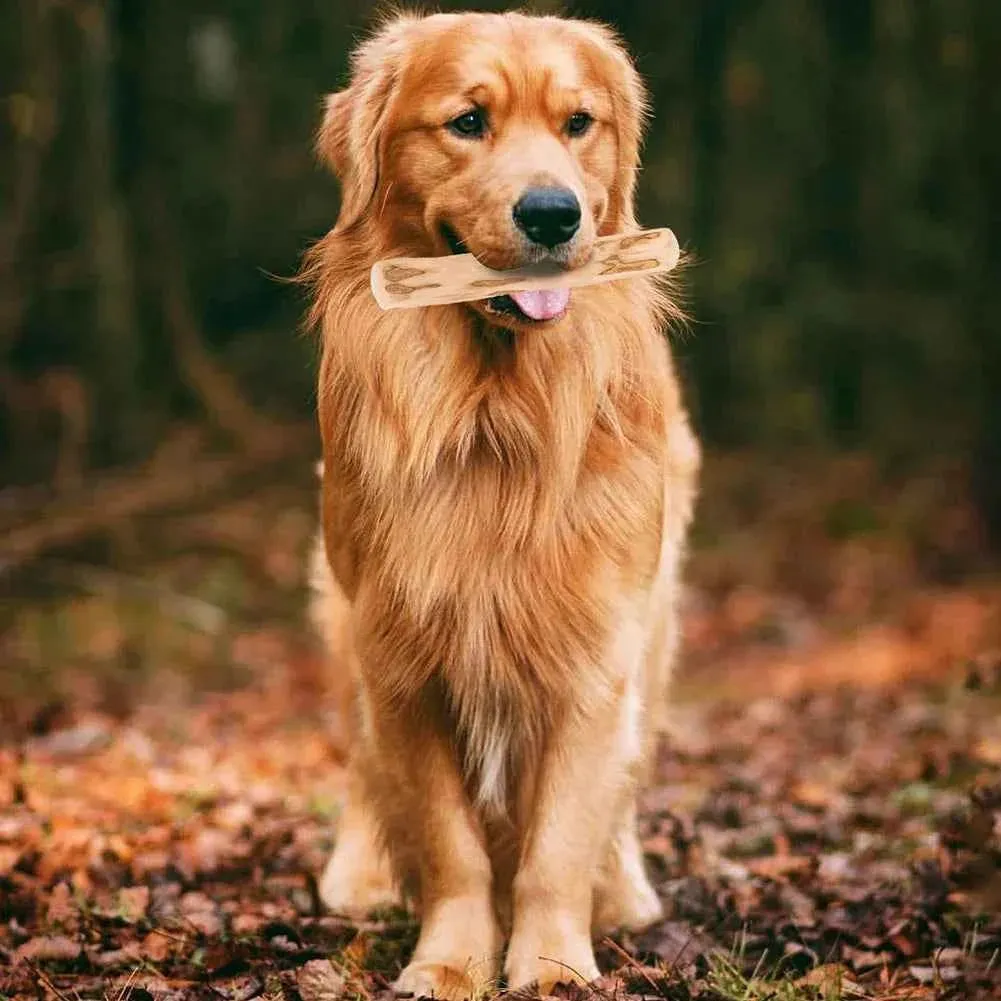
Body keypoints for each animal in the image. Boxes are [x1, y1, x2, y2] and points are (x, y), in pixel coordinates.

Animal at [300, 9, 700, 1001]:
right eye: (467, 122)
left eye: (578, 123)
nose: (552, 214)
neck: (493, 415)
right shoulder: (401, 654)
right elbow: (449, 841)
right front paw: (449, 959)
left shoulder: (595, 654)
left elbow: (559, 838)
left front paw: (553, 962)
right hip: (342, 615)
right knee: (360, 763)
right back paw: (360, 873)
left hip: (656, 626)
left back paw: (623, 889)